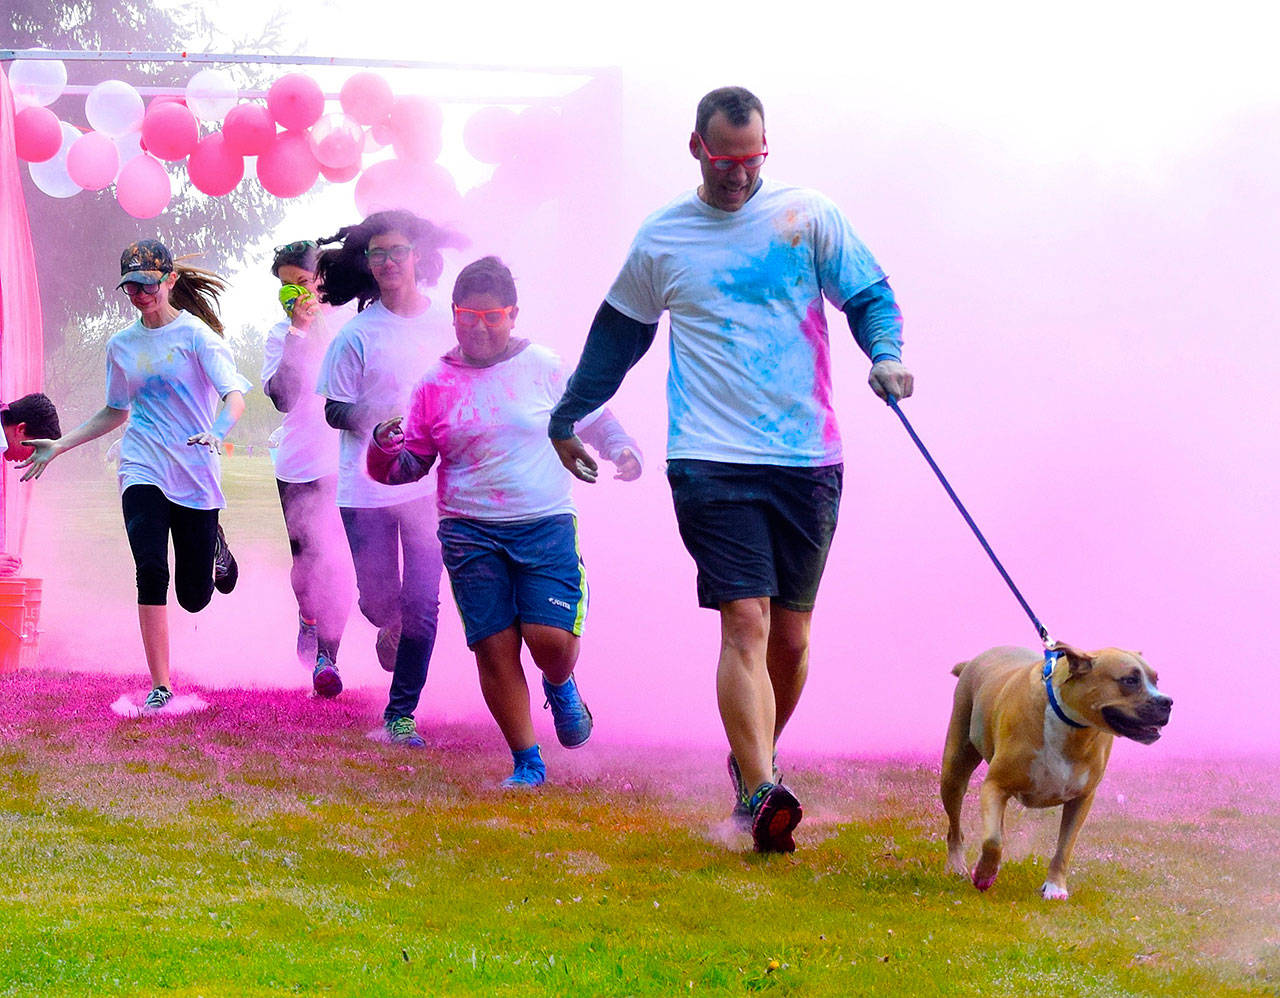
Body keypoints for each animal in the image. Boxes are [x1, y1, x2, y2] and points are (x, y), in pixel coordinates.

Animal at [942, 642, 1172, 900]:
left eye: (1156, 680)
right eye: (1130, 680)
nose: (1167, 702)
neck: (1072, 728)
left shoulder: (1081, 799)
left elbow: (1064, 847)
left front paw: (1055, 886)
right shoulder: (995, 785)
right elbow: (992, 841)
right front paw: (984, 874)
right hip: (953, 772)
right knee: (956, 827)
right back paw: (957, 865)